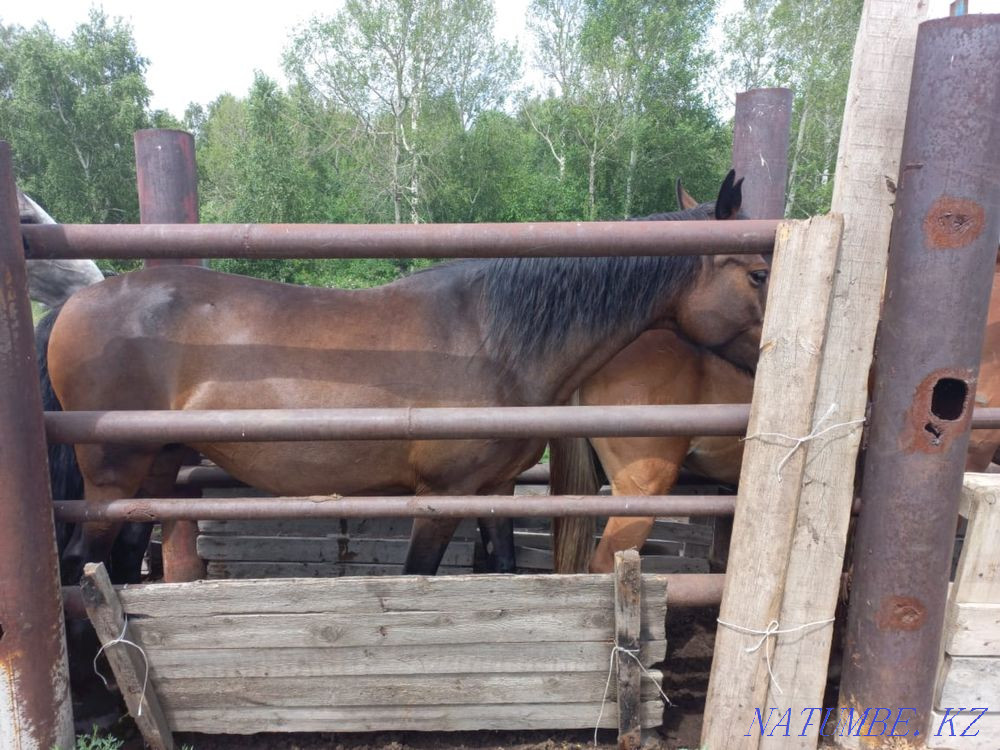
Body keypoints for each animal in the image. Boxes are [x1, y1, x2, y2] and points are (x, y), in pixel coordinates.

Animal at [38, 170, 770, 588]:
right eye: (759, 272)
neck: (494, 337)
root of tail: (74, 303)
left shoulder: (491, 490)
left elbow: (500, 570)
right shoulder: (440, 497)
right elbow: (420, 576)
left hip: (154, 472)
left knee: (122, 566)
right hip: (111, 478)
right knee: (80, 563)